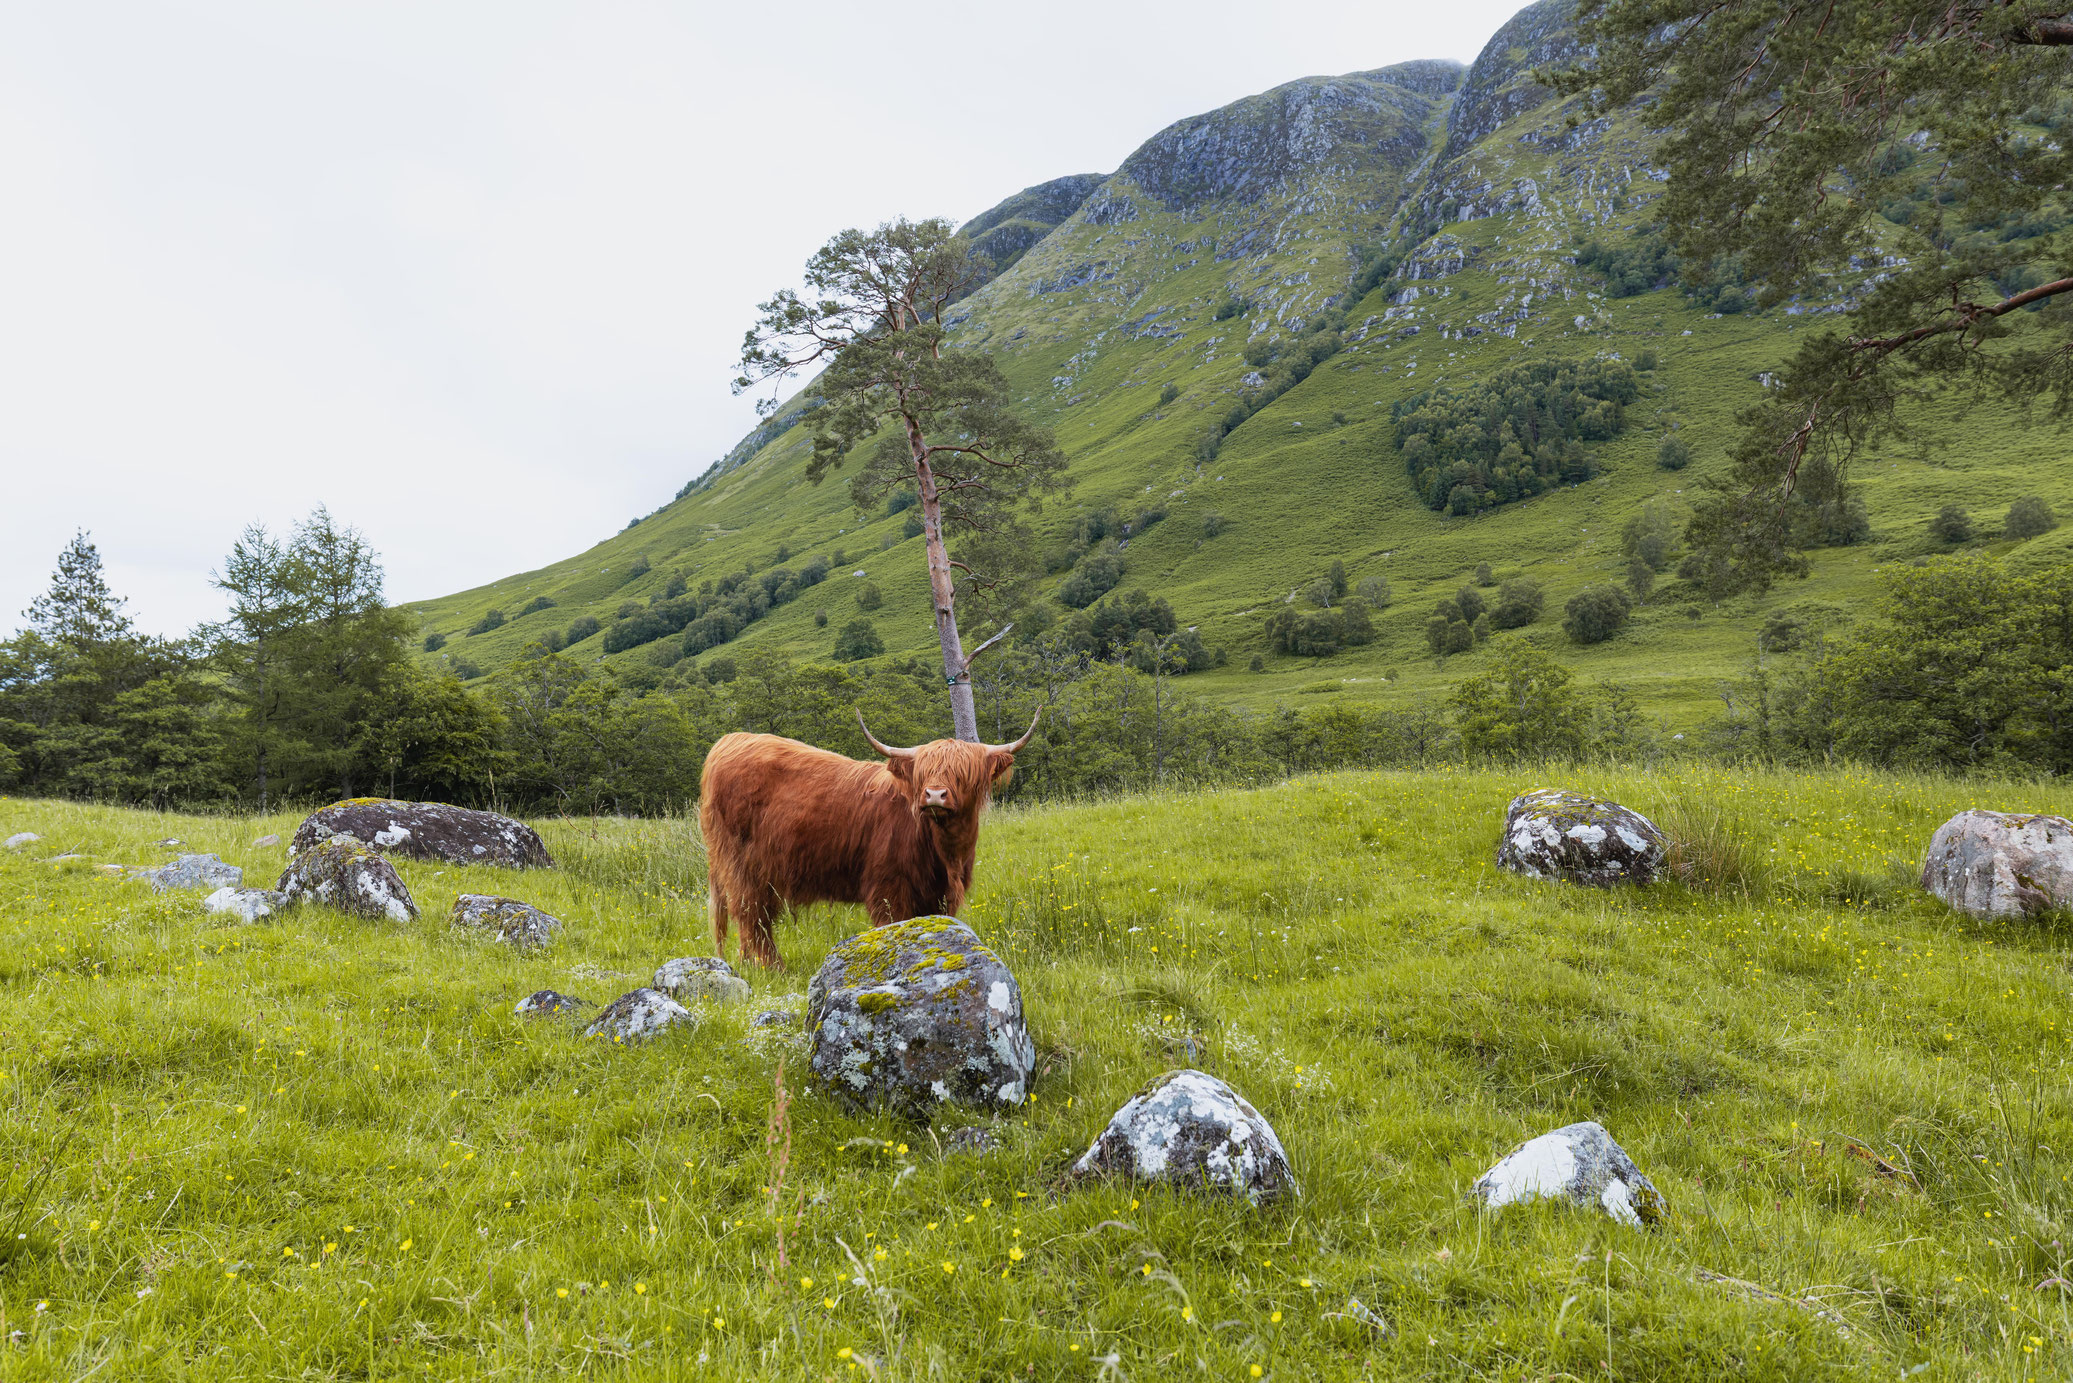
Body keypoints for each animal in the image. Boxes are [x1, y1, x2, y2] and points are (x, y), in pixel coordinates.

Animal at [697, 709, 1040, 969]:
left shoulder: (940, 897)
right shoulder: (888, 889)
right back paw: (770, 969)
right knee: (751, 916)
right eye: (923, 773)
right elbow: (894, 928)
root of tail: (728, 742)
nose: (934, 795)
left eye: (963, 773)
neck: (946, 853)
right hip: (742, 866)